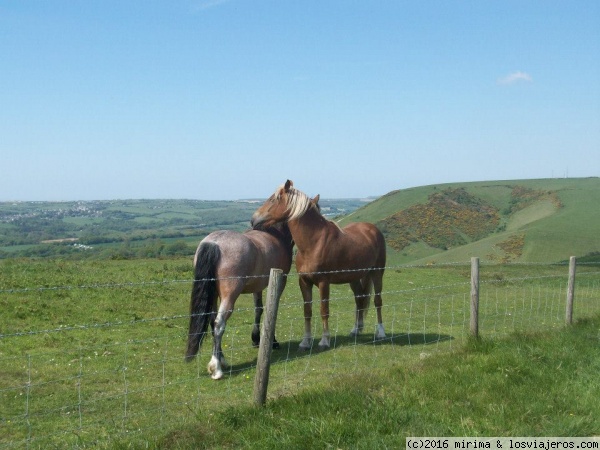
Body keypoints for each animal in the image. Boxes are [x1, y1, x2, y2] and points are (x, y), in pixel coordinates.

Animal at [185, 223, 292, 378]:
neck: (276, 233)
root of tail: (214, 242)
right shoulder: (281, 281)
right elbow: (271, 311)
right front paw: (272, 341)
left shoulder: (257, 286)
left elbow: (259, 309)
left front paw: (256, 339)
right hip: (229, 296)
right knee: (219, 324)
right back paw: (216, 368)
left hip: (214, 295)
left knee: (212, 321)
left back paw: (221, 359)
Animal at [252, 180, 384, 352]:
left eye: (274, 199)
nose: (253, 220)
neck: (313, 243)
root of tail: (373, 229)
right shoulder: (304, 282)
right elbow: (307, 311)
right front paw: (305, 342)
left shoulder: (323, 283)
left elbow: (324, 310)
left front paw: (324, 340)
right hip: (354, 278)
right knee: (359, 300)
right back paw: (356, 329)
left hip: (377, 273)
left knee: (377, 301)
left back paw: (381, 332)